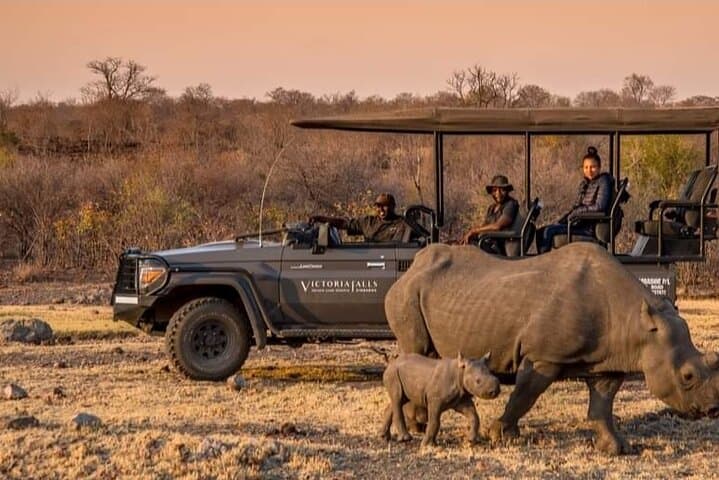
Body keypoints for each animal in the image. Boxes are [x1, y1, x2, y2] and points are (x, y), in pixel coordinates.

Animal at [385, 242, 719, 454]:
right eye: (687, 376)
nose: (712, 410)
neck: (636, 321)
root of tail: (409, 269)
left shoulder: (609, 358)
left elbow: (603, 404)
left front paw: (618, 449)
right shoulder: (543, 356)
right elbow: (526, 395)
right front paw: (501, 435)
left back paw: (418, 423)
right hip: (406, 296)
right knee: (415, 346)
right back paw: (418, 426)